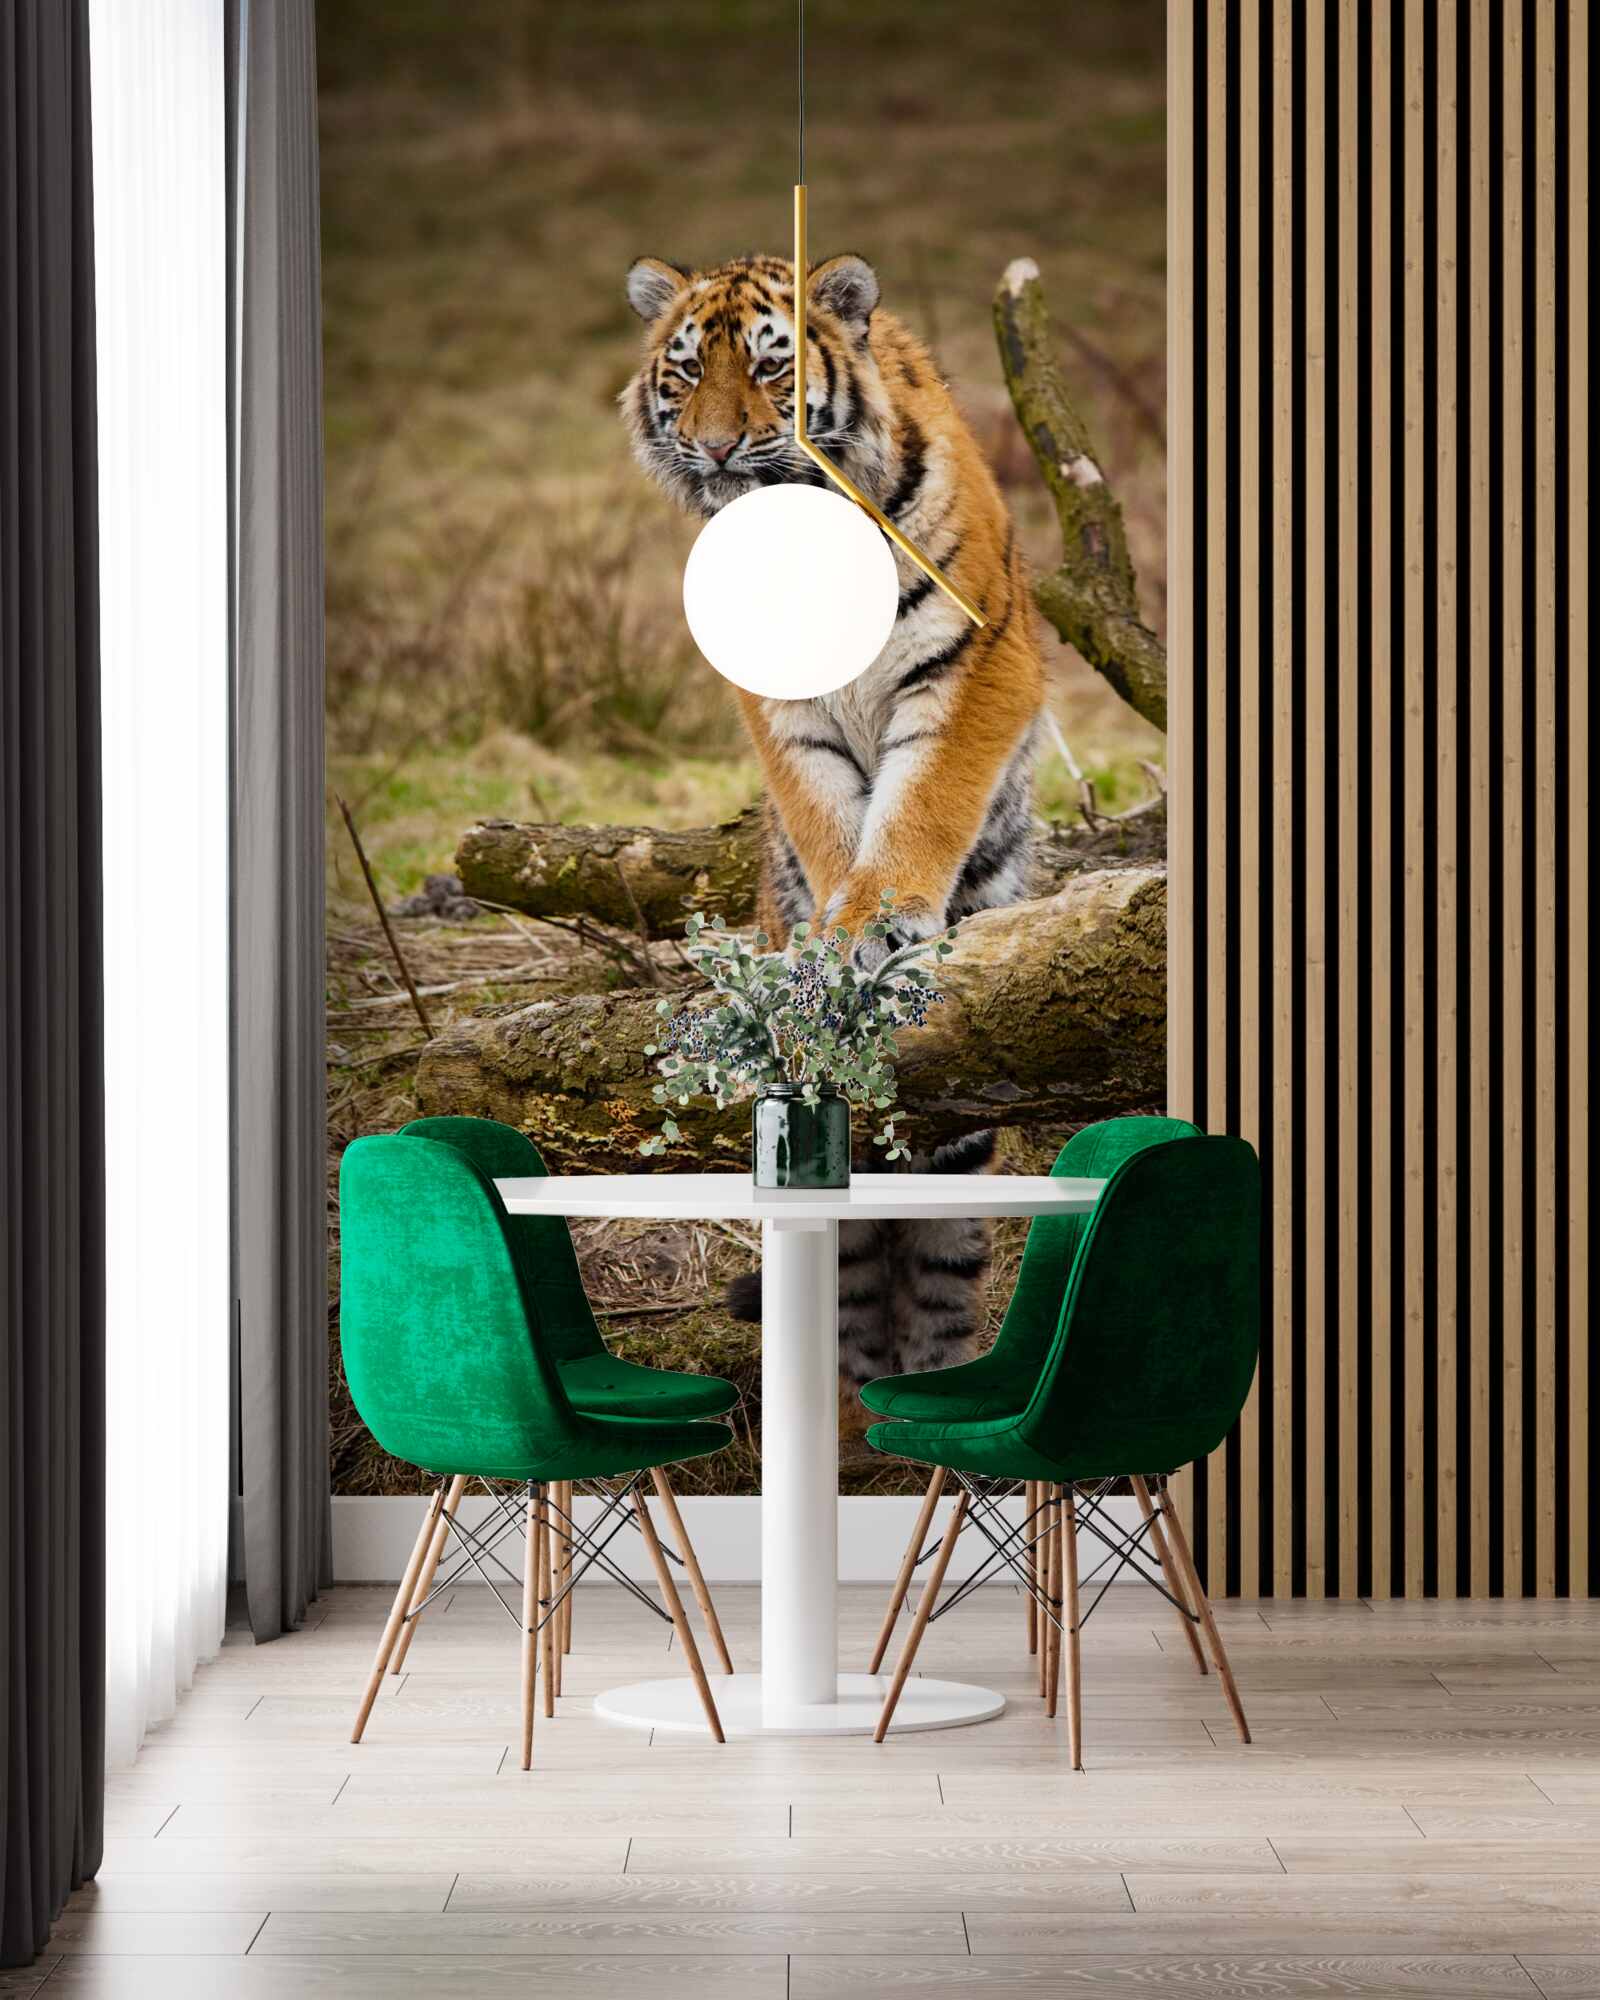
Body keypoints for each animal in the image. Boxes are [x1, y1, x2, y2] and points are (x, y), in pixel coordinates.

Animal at [622, 249, 1044, 1399]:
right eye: (687, 371)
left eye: (772, 366)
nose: (720, 445)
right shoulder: (779, 705)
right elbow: (824, 814)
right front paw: (830, 933)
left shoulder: (974, 659)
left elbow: (924, 798)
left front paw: (878, 922)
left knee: (937, 1282)